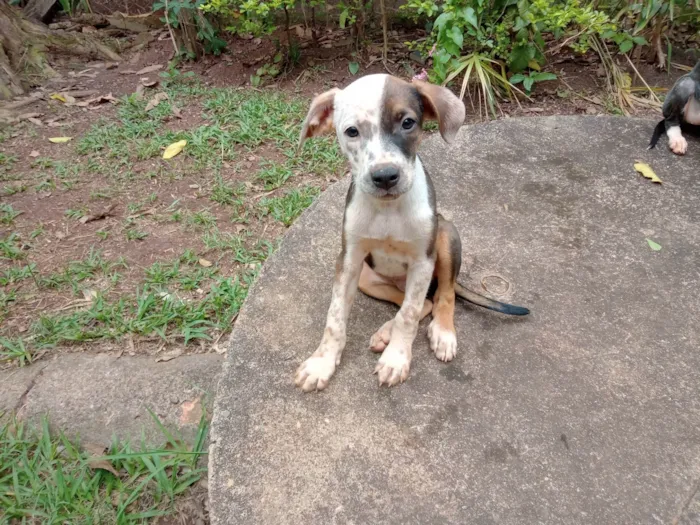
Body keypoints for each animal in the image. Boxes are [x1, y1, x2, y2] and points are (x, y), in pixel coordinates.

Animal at [296, 75, 532, 390]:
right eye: (352, 131)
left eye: (407, 122)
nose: (385, 176)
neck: (388, 209)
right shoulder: (349, 260)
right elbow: (335, 316)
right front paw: (321, 363)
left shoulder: (422, 262)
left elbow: (408, 315)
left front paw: (396, 359)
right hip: (368, 279)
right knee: (420, 302)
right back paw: (385, 332)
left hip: (445, 235)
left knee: (442, 295)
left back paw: (442, 333)